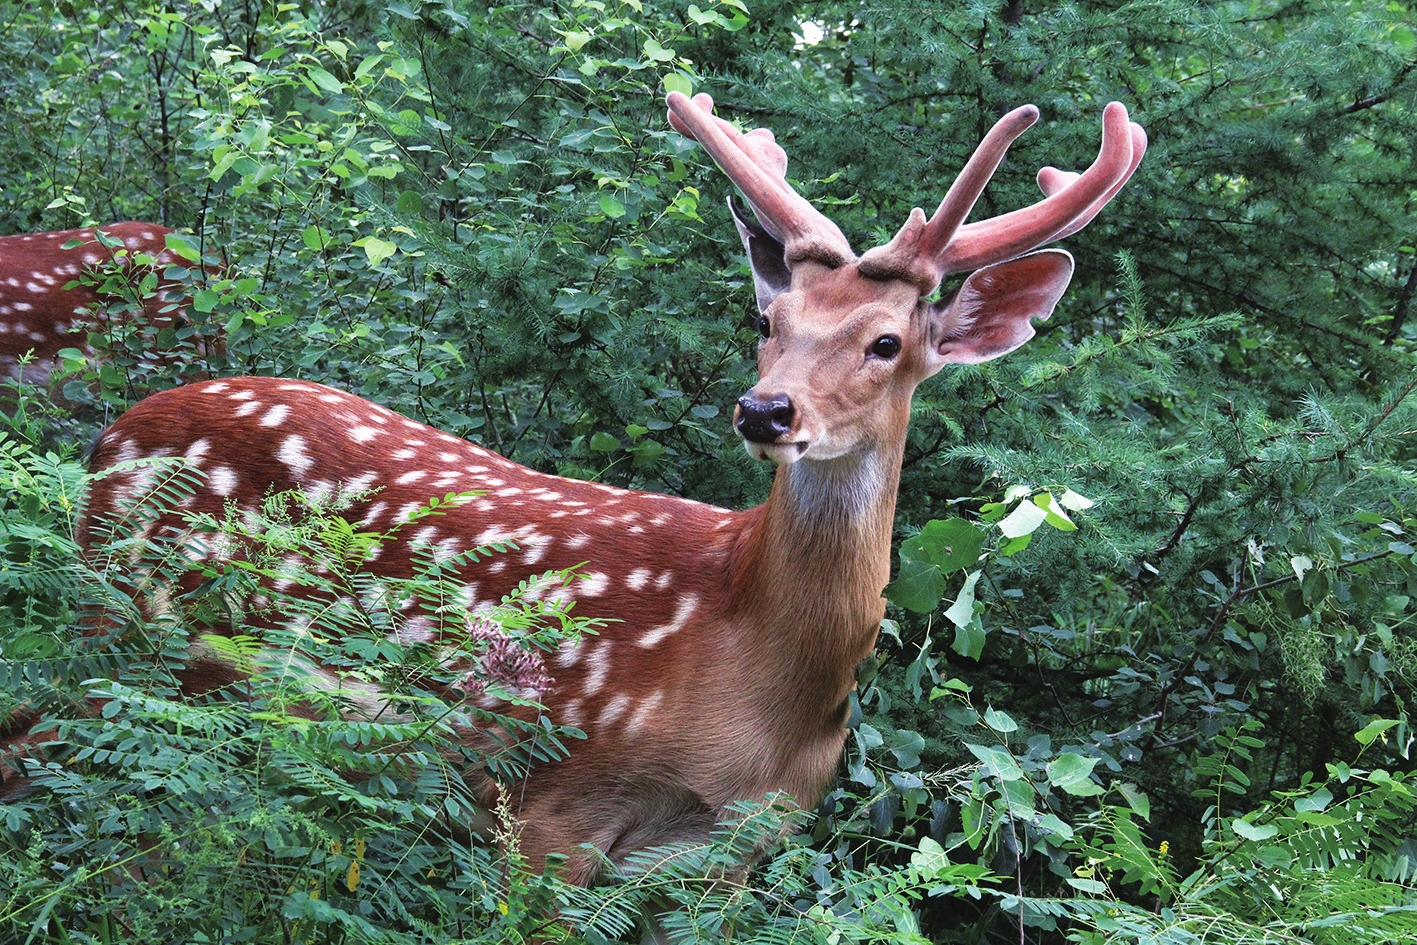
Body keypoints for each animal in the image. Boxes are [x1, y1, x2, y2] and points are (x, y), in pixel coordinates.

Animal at [69, 92, 1145, 887]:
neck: (755, 679)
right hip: (121, 619)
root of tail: (118, 428)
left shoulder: (730, 859)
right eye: (768, 320)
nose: (765, 411)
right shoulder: (550, 808)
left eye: (885, 342)